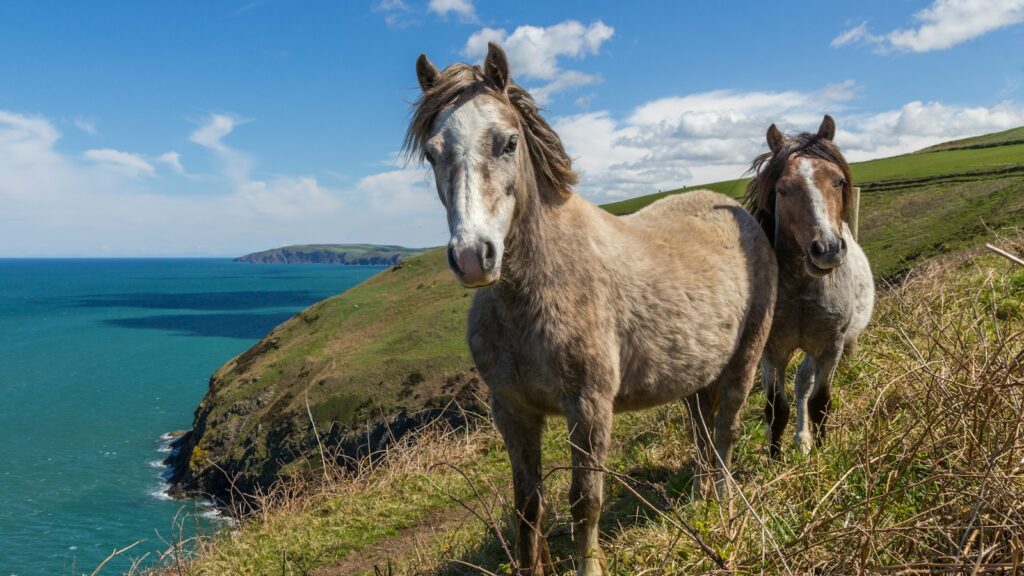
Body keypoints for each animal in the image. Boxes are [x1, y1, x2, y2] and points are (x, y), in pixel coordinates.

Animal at [406, 43, 777, 576]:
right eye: (433, 153)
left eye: (508, 143)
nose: (474, 256)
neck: (532, 295)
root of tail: (737, 213)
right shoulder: (513, 411)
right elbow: (528, 507)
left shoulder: (588, 406)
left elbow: (586, 501)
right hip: (694, 376)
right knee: (702, 432)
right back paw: (701, 500)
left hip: (745, 358)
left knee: (725, 430)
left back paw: (725, 506)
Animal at [743, 116, 875, 458]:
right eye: (782, 190)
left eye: (838, 181)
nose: (826, 249)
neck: (803, 290)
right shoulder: (773, 351)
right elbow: (776, 409)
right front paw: (773, 459)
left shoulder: (830, 347)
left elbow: (819, 402)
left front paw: (824, 452)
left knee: (803, 383)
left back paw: (803, 440)